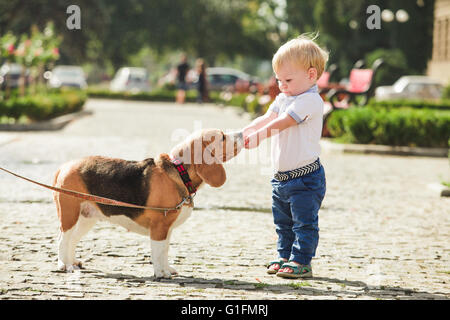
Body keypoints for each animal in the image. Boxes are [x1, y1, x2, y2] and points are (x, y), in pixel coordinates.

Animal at [52, 128, 244, 278]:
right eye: (222, 137)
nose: (242, 134)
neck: (179, 171)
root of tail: (64, 166)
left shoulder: (167, 229)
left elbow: (164, 251)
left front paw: (167, 269)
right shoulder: (159, 227)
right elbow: (158, 252)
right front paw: (161, 273)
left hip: (86, 218)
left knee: (72, 239)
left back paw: (72, 261)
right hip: (69, 214)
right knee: (63, 239)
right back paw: (65, 265)